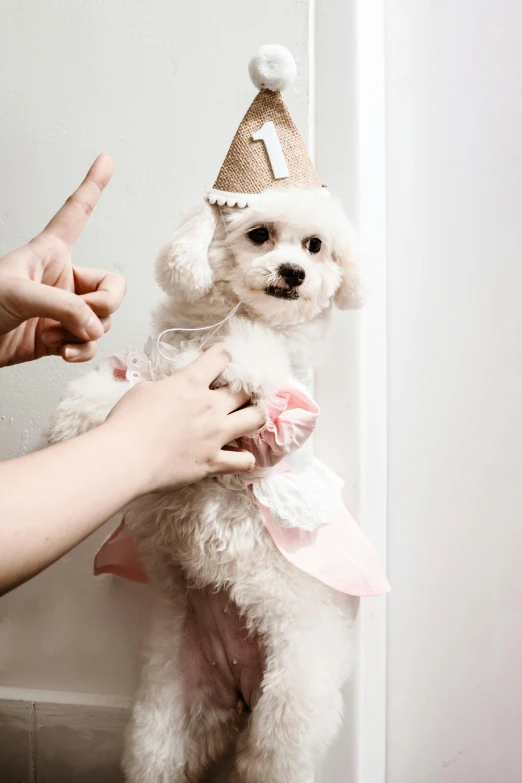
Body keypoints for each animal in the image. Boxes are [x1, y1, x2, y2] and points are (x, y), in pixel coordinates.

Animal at [48, 190, 366, 783]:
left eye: (315, 246)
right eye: (260, 234)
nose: (294, 272)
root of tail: (238, 693)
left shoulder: (279, 424)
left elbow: (261, 372)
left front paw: (248, 365)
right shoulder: (152, 374)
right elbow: (121, 394)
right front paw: (72, 421)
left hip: (289, 713)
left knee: (271, 757)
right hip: (164, 724)